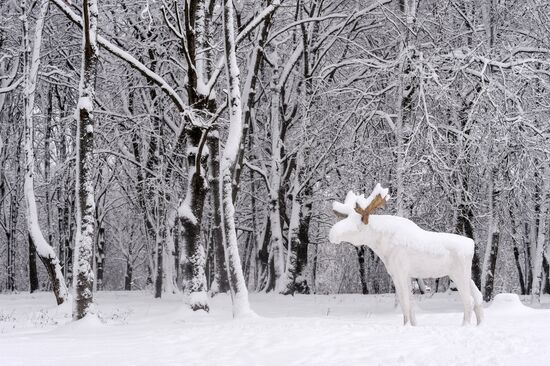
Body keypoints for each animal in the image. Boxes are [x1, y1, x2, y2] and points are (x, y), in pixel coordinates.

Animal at [330, 183, 486, 326]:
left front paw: (405, 326)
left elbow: (405, 304)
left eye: (356, 226)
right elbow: (410, 305)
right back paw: (480, 324)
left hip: (458, 274)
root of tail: (471, 244)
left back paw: (465, 326)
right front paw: (413, 325)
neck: (381, 245)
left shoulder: (401, 272)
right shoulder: (402, 275)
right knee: (478, 297)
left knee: (469, 300)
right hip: (466, 275)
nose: (332, 234)